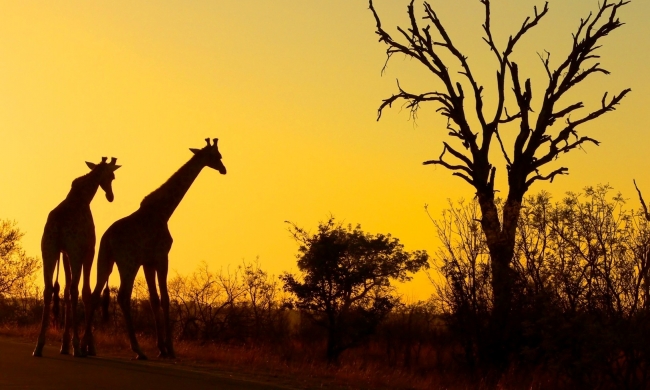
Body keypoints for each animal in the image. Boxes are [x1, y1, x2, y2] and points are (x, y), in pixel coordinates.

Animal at [33, 156, 121, 356]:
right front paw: (87, 346)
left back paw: (39, 345)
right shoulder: (87, 251)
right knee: (74, 289)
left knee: (48, 289)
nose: (110, 196)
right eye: (112, 176)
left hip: (48, 250)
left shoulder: (65, 253)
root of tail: (58, 225)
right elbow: (85, 292)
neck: (83, 197)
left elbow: (65, 291)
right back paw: (76, 345)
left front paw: (64, 345)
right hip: (74, 253)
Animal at [81, 138, 225, 360]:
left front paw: (161, 348)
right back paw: (138, 350)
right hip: (128, 263)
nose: (223, 169)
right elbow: (165, 299)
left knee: (95, 295)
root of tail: (108, 238)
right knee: (123, 296)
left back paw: (85, 347)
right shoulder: (161, 256)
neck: (163, 211)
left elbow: (154, 299)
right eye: (216, 155)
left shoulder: (148, 262)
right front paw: (170, 349)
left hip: (105, 261)